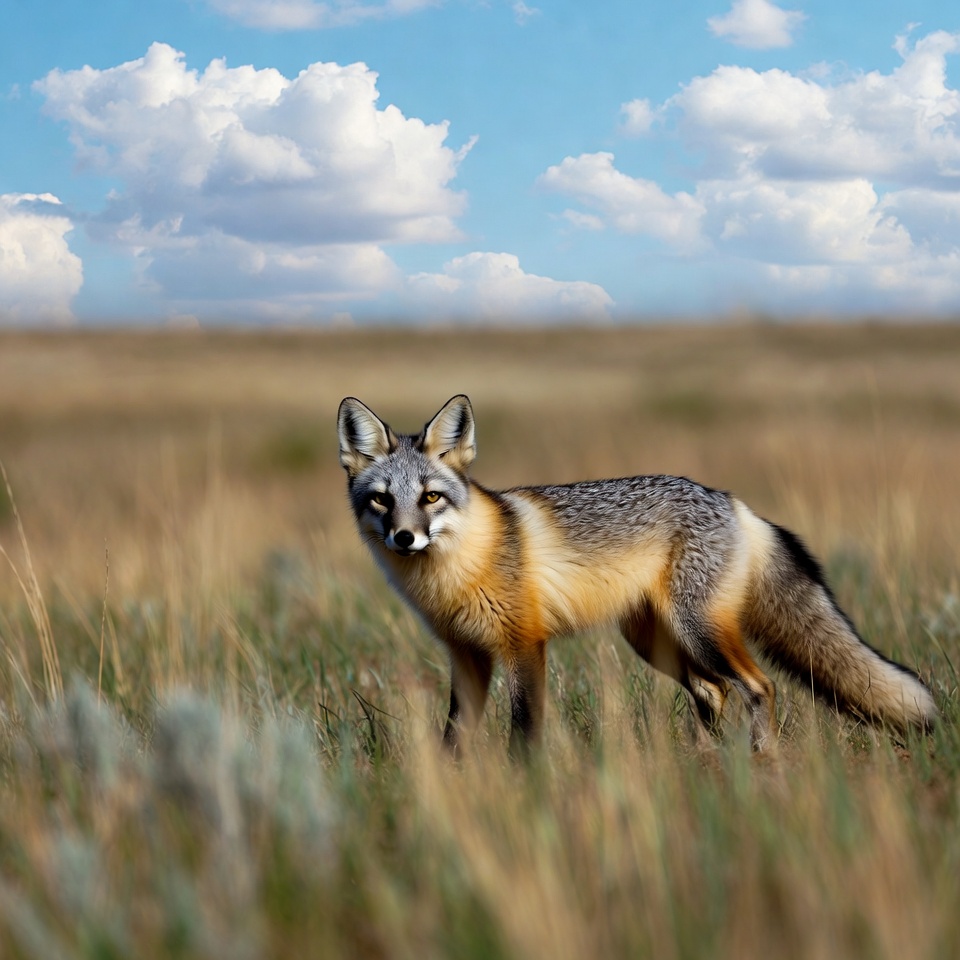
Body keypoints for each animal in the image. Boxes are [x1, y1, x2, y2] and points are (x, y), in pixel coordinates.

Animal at [337, 394, 936, 756]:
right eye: (382, 501)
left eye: (430, 498)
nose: (404, 538)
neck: (457, 571)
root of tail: (730, 500)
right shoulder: (467, 657)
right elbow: (452, 741)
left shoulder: (524, 645)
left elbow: (524, 733)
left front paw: (524, 793)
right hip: (652, 640)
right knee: (714, 690)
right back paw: (705, 761)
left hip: (697, 629)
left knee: (756, 685)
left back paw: (760, 761)